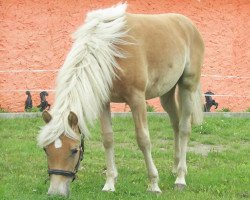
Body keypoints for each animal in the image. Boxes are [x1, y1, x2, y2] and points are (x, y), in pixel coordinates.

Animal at [38, 3, 204, 198]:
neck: (109, 51)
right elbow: (108, 139)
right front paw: (110, 183)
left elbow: (143, 139)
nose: (55, 192)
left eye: (74, 150)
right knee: (176, 125)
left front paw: (154, 184)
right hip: (167, 93)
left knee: (184, 128)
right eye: (46, 149)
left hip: (187, 87)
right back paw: (175, 168)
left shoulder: (137, 99)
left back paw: (180, 177)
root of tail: (188, 24)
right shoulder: (103, 101)